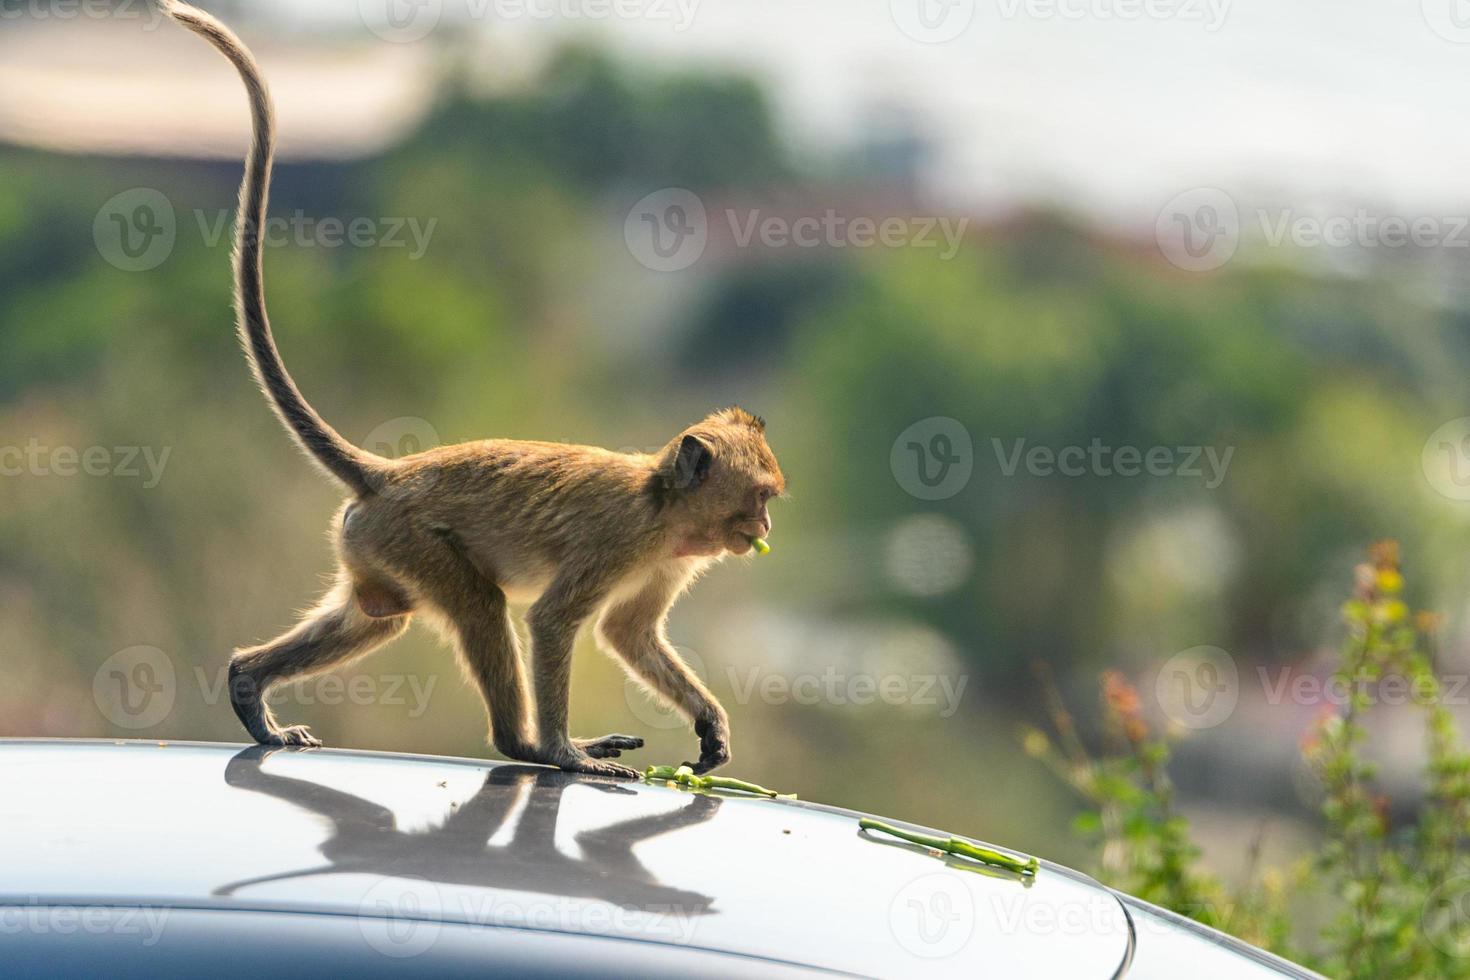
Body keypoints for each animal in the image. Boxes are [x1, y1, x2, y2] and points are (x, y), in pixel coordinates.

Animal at [155, 1, 787, 781]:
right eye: (759, 498)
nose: (764, 531)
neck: (662, 505)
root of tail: (388, 474)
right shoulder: (620, 540)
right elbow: (554, 620)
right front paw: (563, 750)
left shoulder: (669, 560)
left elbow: (628, 632)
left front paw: (710, 723)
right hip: (413, 539)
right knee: (480, 605)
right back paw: (530, 746)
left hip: (375, 549)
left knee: (376, 615)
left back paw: (250, 685)